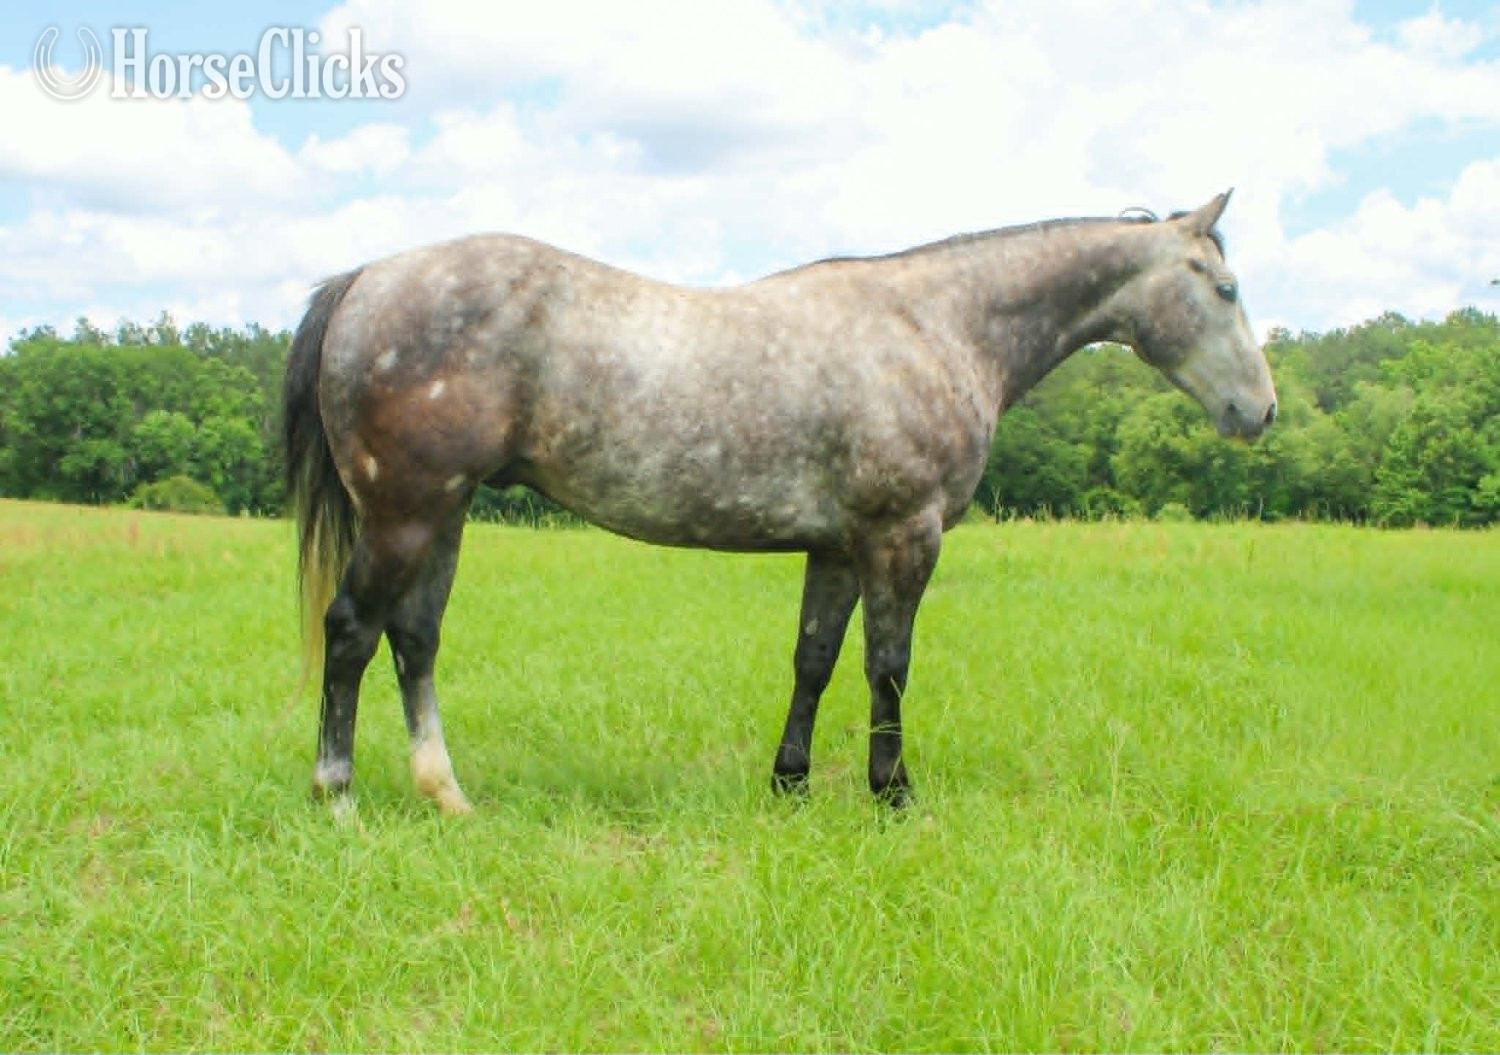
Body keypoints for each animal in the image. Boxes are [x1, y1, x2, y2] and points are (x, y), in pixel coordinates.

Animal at [282, 190, 1277, 815]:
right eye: (1225, 288)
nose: (1260, 411)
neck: (938, 326)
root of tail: (368, 278)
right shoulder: (902, 537)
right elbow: (888, 665)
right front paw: (893, 792)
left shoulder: (836, 546)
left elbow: (815, 660)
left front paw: (790, 784)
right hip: (405, 514)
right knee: (351, 632)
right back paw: (338, 797)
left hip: (443, 516)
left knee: (415, 641)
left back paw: (447, 794)